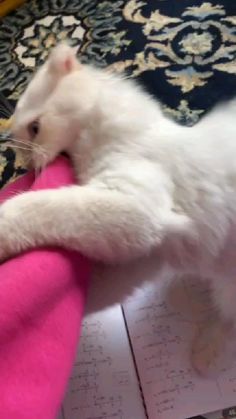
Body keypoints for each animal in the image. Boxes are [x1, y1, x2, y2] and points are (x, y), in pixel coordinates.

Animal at [4, 43, 236, 378]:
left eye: (35, 129)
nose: (27, 164)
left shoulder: (134, 207)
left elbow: (36, 205)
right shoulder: (145, 254)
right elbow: (89, 294)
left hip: (228, 284)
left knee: (228, 318)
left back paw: (206, 355)